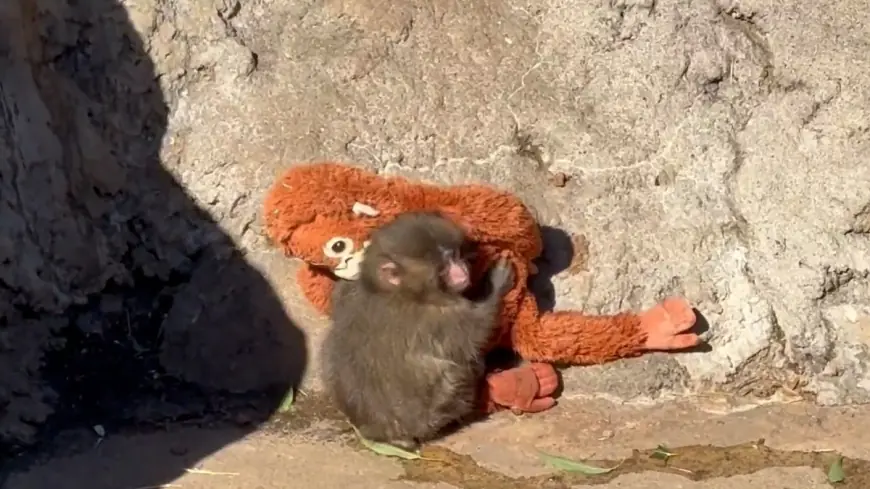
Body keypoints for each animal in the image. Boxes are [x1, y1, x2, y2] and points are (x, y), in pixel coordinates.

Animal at [319, 211, 515, 451]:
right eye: (443, 265)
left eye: (454, 255)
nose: (462, 270)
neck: (397, 291)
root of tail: (378, 433)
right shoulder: (440, 317)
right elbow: (477, 333)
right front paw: (496, 283)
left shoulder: (348, 289)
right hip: (438, 409)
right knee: (458, 370)